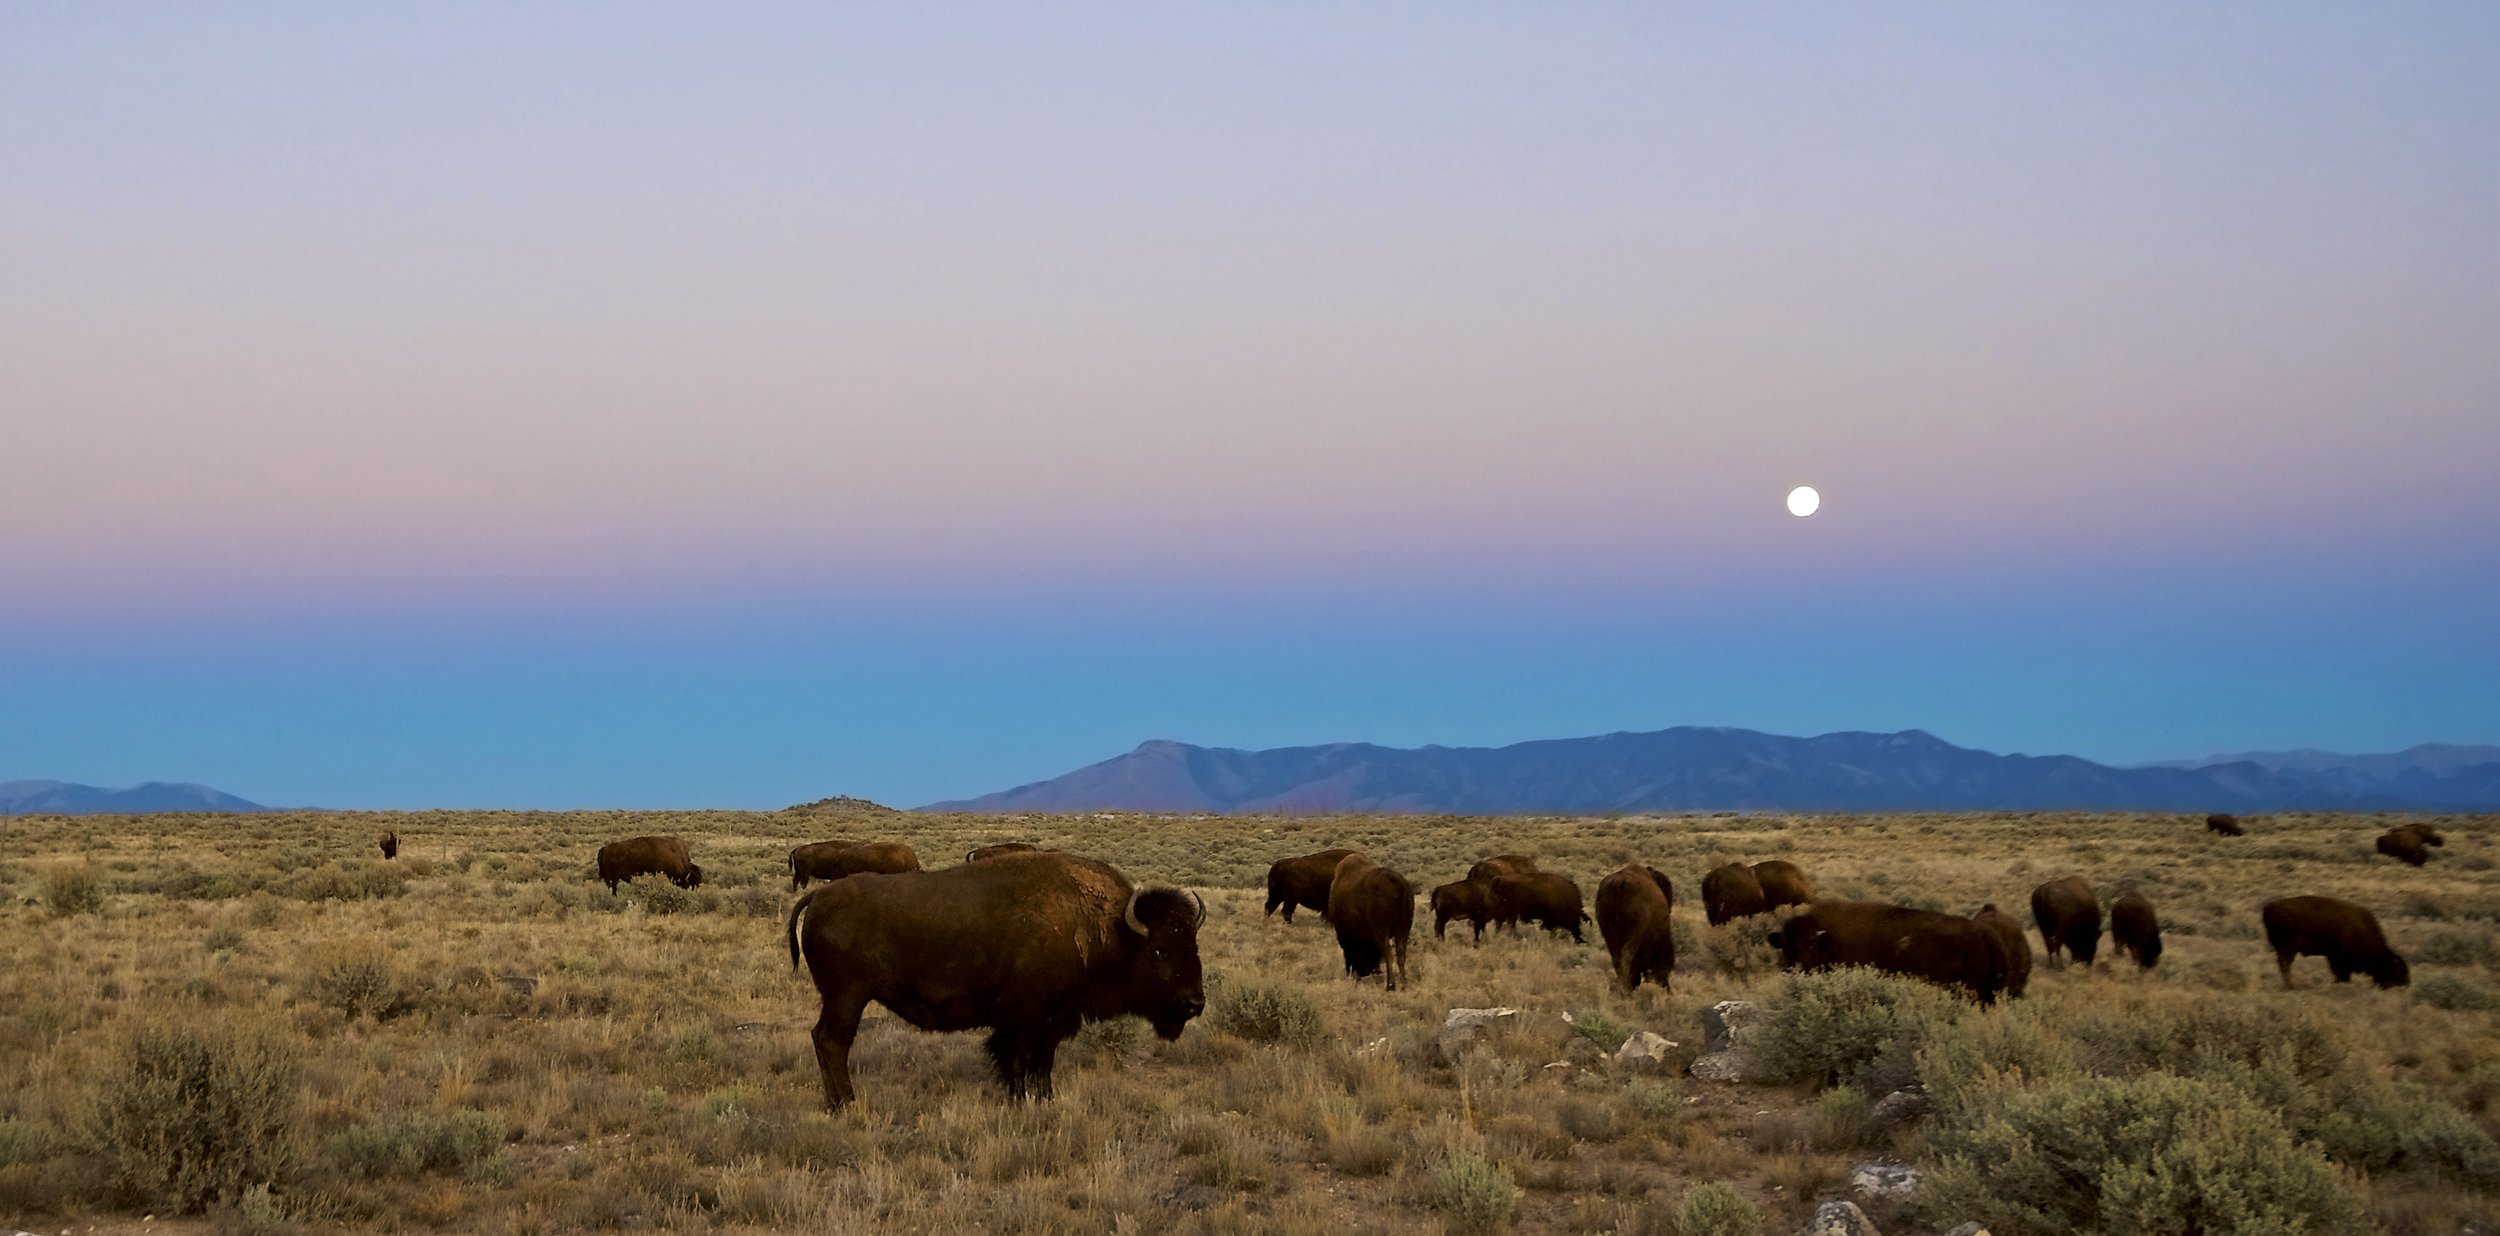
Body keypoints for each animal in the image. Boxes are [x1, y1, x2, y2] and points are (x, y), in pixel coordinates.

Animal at [785, 850, 1205, 1110]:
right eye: (1158, 950)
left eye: (1193, 944)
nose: (1194, 1003)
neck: (1107, 928)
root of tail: (818, 898)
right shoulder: (1023, 1019)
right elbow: (1017, 1062)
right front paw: (1019, 1102)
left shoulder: (1053, 1021)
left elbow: (1043, 1065)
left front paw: (1046, 1100)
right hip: (847, 996)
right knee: (833, 1041)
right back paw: (847, 1103)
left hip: (841, 997)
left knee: (824, 1039)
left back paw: (837, 1103)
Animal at [1320, 855, 1420, 990]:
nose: (1367, 972)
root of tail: (1397, 881)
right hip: (1403, 928)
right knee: (1401, 954)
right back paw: (1403, 984)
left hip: (1381, 929)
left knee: (1388, 952)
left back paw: (1390, 985)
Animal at [2260, 890, 2410, 990]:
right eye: (2397, 970)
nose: (2406, 984)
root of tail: (2270, 907)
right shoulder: (2340, 958)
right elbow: (2342, 973)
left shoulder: (2333, 956)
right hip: (2289, 946)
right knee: (2285, 964)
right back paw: (2290, 986)